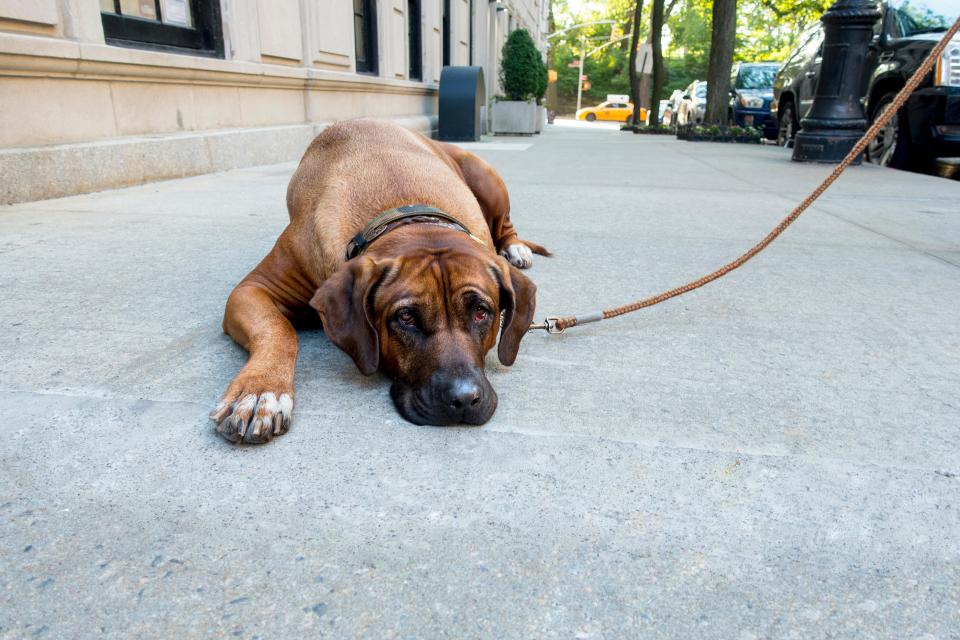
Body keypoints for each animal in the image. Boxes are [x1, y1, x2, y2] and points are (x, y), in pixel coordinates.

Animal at [210, 117, 548, 442]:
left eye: (481, 312)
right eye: (406, 318)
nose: (464, 399)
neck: (405, 212)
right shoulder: (252, 289)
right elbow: (277, 328)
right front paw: (260, 390)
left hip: (485, 178)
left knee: (505, 225)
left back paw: (515, 248)